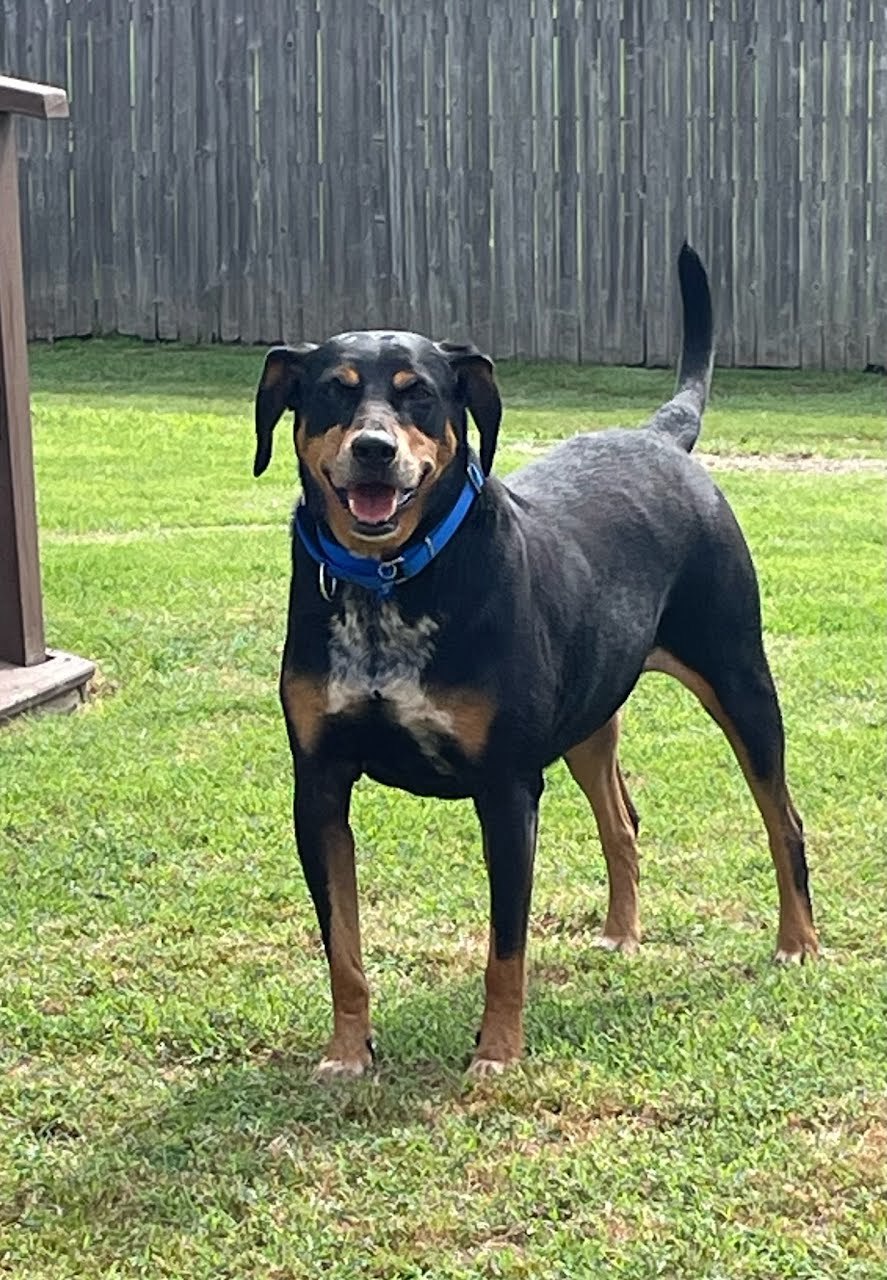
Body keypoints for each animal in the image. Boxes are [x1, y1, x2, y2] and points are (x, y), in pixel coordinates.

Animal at [249, 241, 814, 1080]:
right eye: (331, 392)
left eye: (420, 396)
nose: (374, 450)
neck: (393, 583)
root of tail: (660, 435)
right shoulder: (317, 785)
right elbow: (341, 948)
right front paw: (347, 1051)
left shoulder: (507, 787)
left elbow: (505, 947)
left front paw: (497, 1052)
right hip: (589, 716)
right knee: (622, 821)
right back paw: (620, 932)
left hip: (740, 679)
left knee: (782, 818)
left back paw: (798, 942)